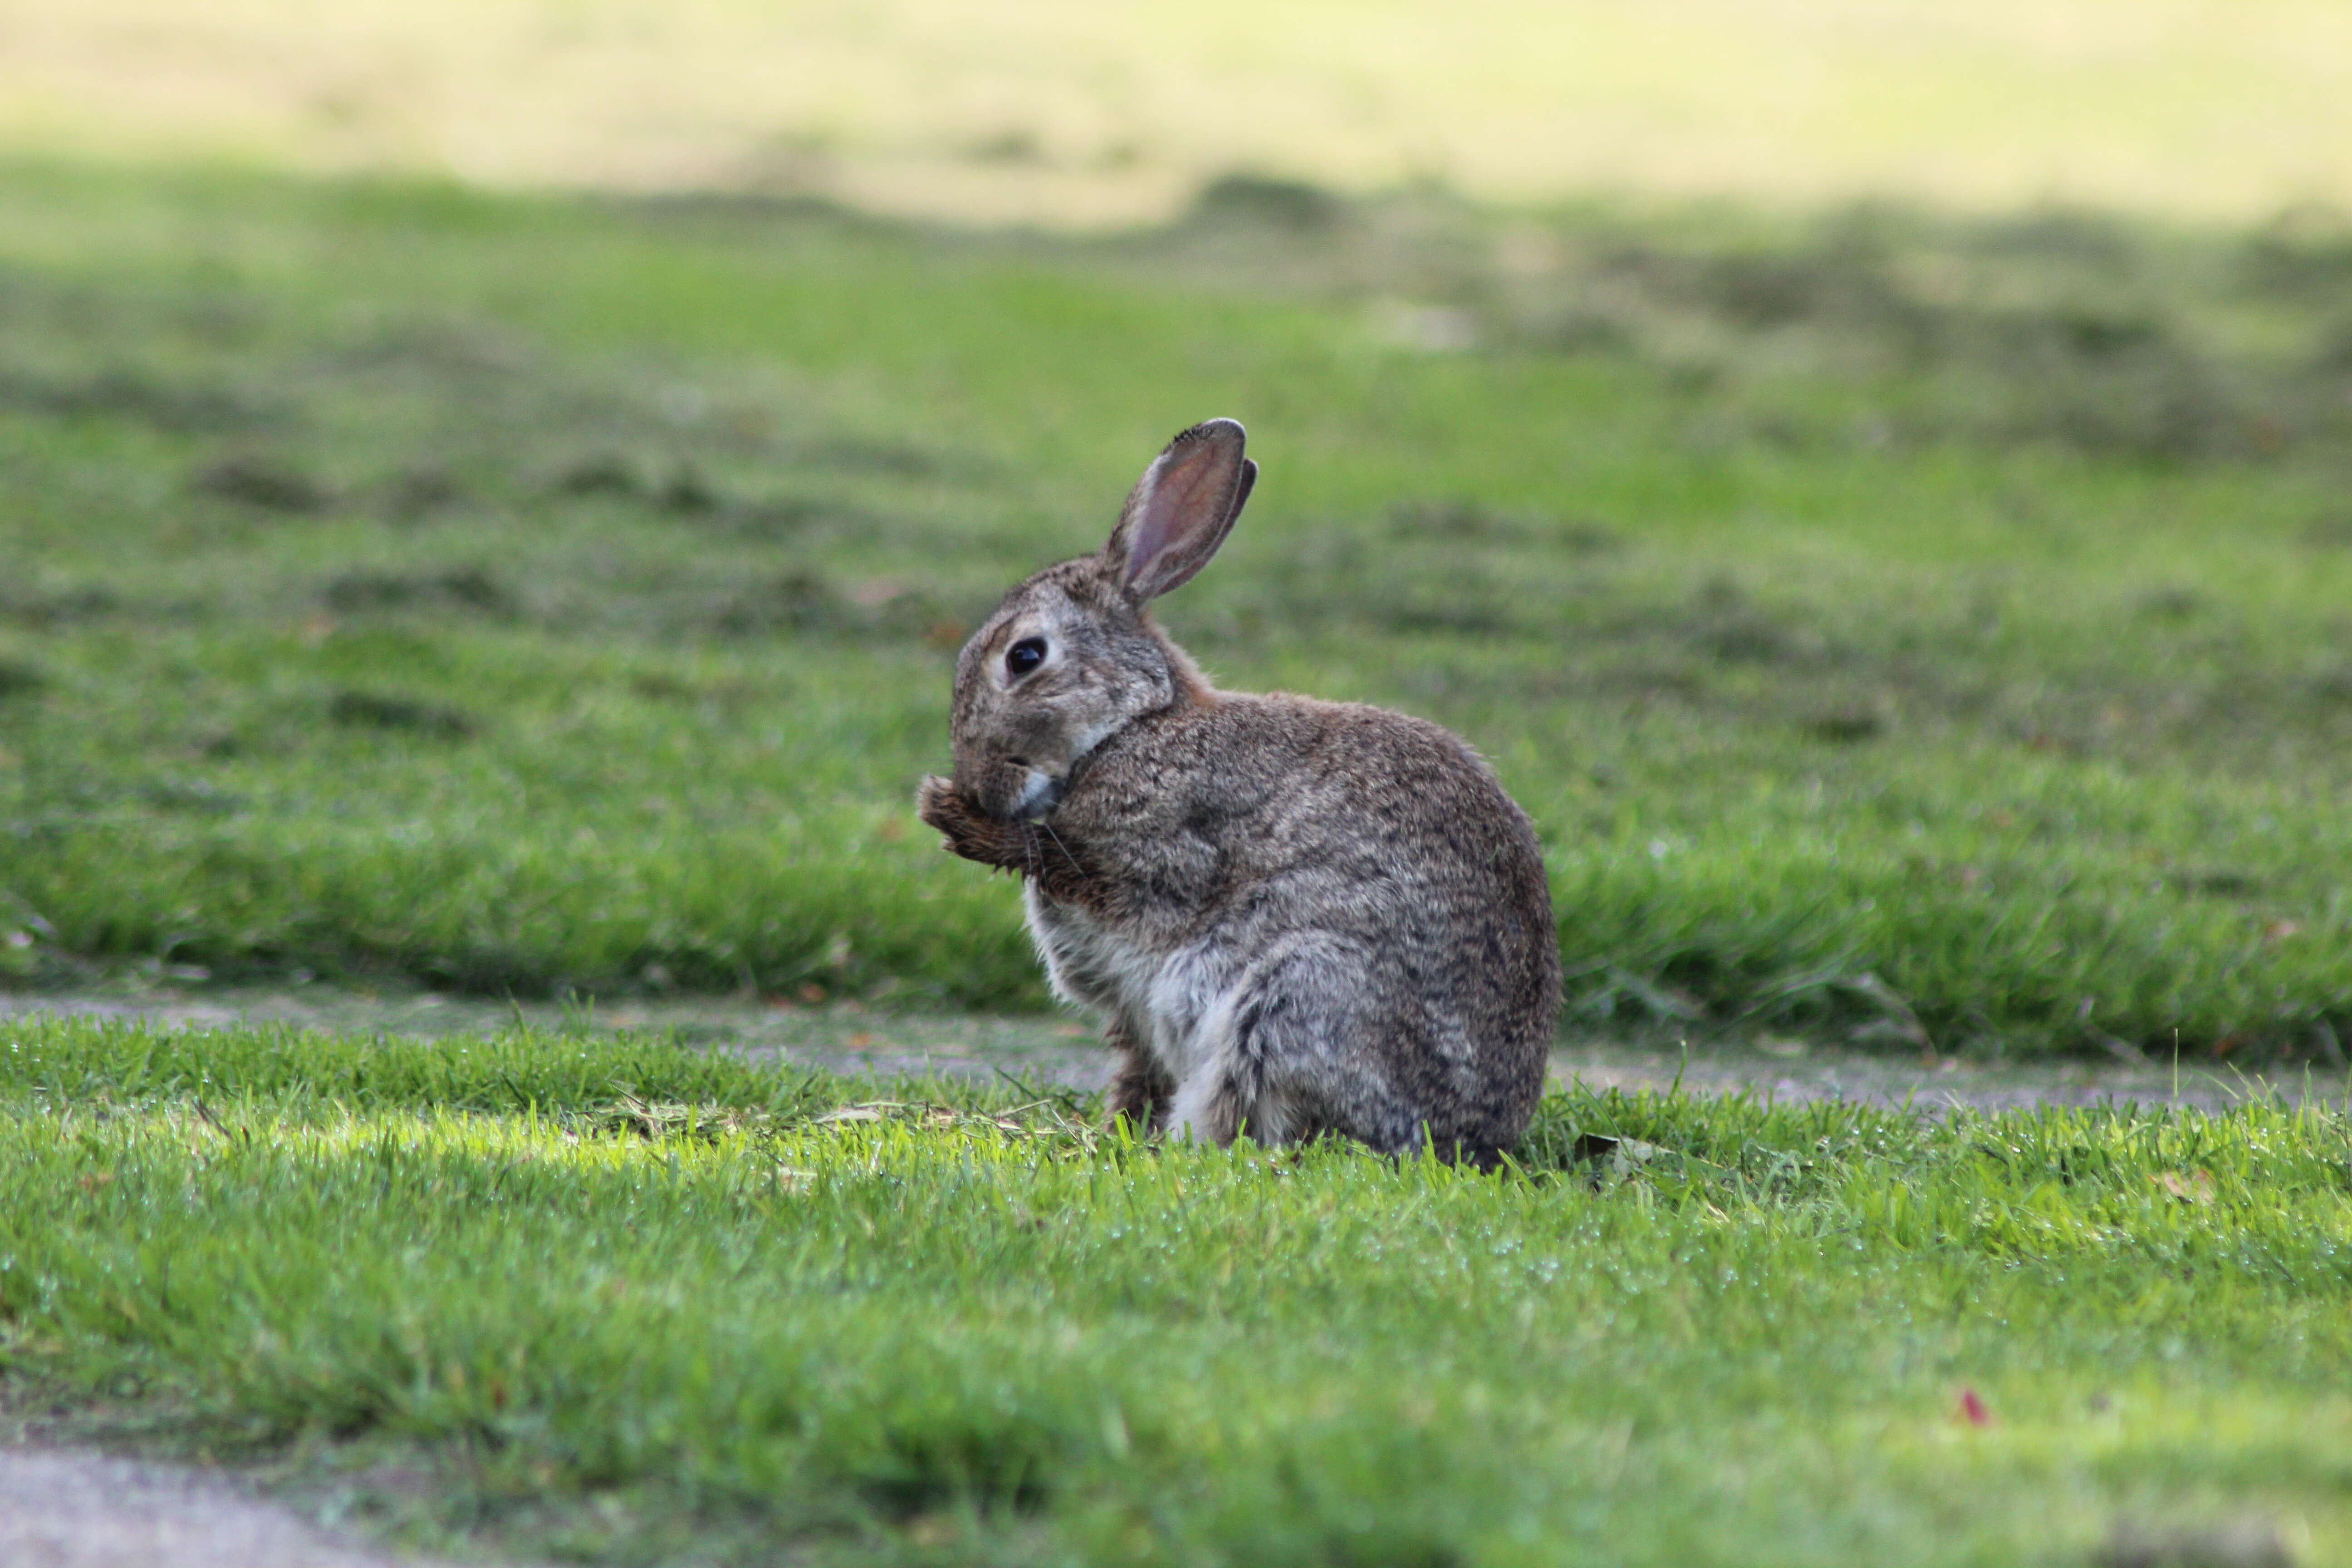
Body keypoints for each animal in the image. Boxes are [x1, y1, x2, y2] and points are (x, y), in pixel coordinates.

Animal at [917, 416, 1562, 1166]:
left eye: (1026, 657)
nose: (977, 784)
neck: (1130, 726)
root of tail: (1476, 1139)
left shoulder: (1164, 853)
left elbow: (1070, 861)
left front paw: (954, 818)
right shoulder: (1135, 1021)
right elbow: (1136, 1075)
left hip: (1298, 991)